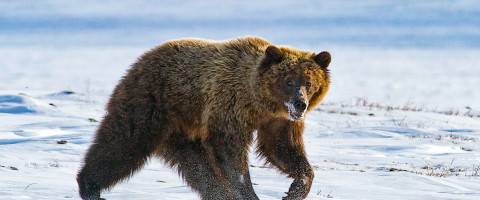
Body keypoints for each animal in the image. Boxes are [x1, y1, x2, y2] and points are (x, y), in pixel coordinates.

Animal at [78, 36, 330, 200]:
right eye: (289, 81)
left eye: (309, 82)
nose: (300, 103)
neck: (260, 101)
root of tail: (140, 60)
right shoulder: (229, 106)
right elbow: (231, 153)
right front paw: (248, 192)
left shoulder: (278, 121)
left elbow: (282, 149)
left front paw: (296, 188)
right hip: (152, 104)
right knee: (122, 145)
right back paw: (90, 186)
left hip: (182, 131)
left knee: (198, 169)